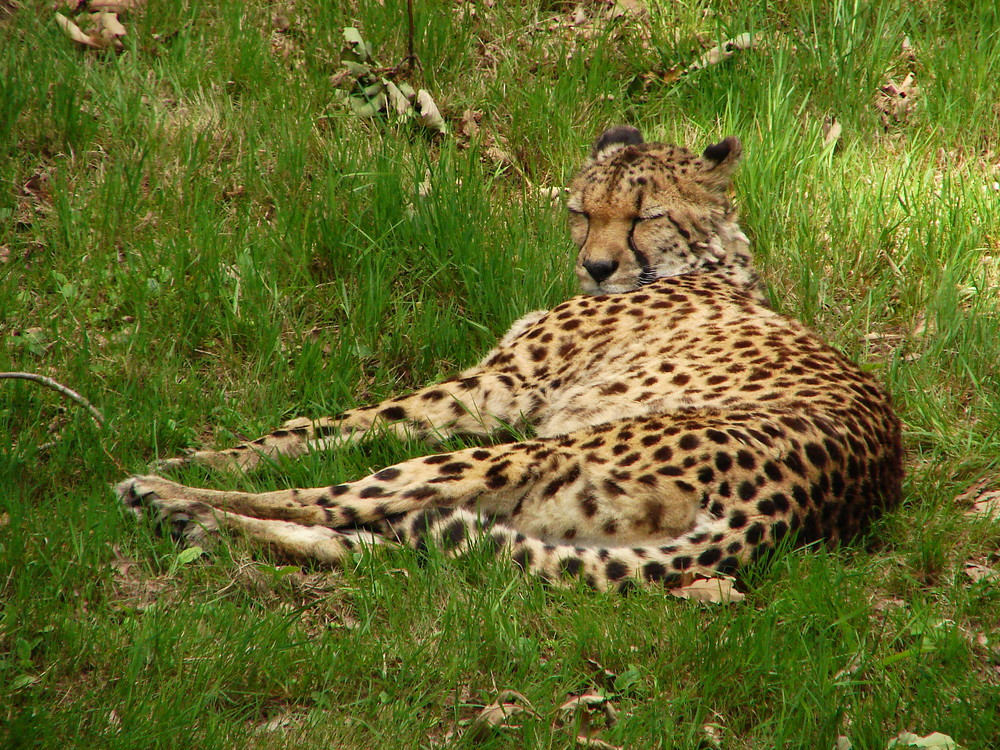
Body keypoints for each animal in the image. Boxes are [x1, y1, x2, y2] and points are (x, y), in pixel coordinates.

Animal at [119, 125, 908, 592]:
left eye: (645, 216)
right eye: (582, 210)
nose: (596, 267)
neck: (705, 259)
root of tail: (794, 508)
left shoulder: (499, 386)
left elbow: (331, 425)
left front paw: (211, 457)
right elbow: (338, 427)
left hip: (528, 454)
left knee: (334, 500)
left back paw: (169, 495)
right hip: (551, 514)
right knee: (393, 546)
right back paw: (200, 524)